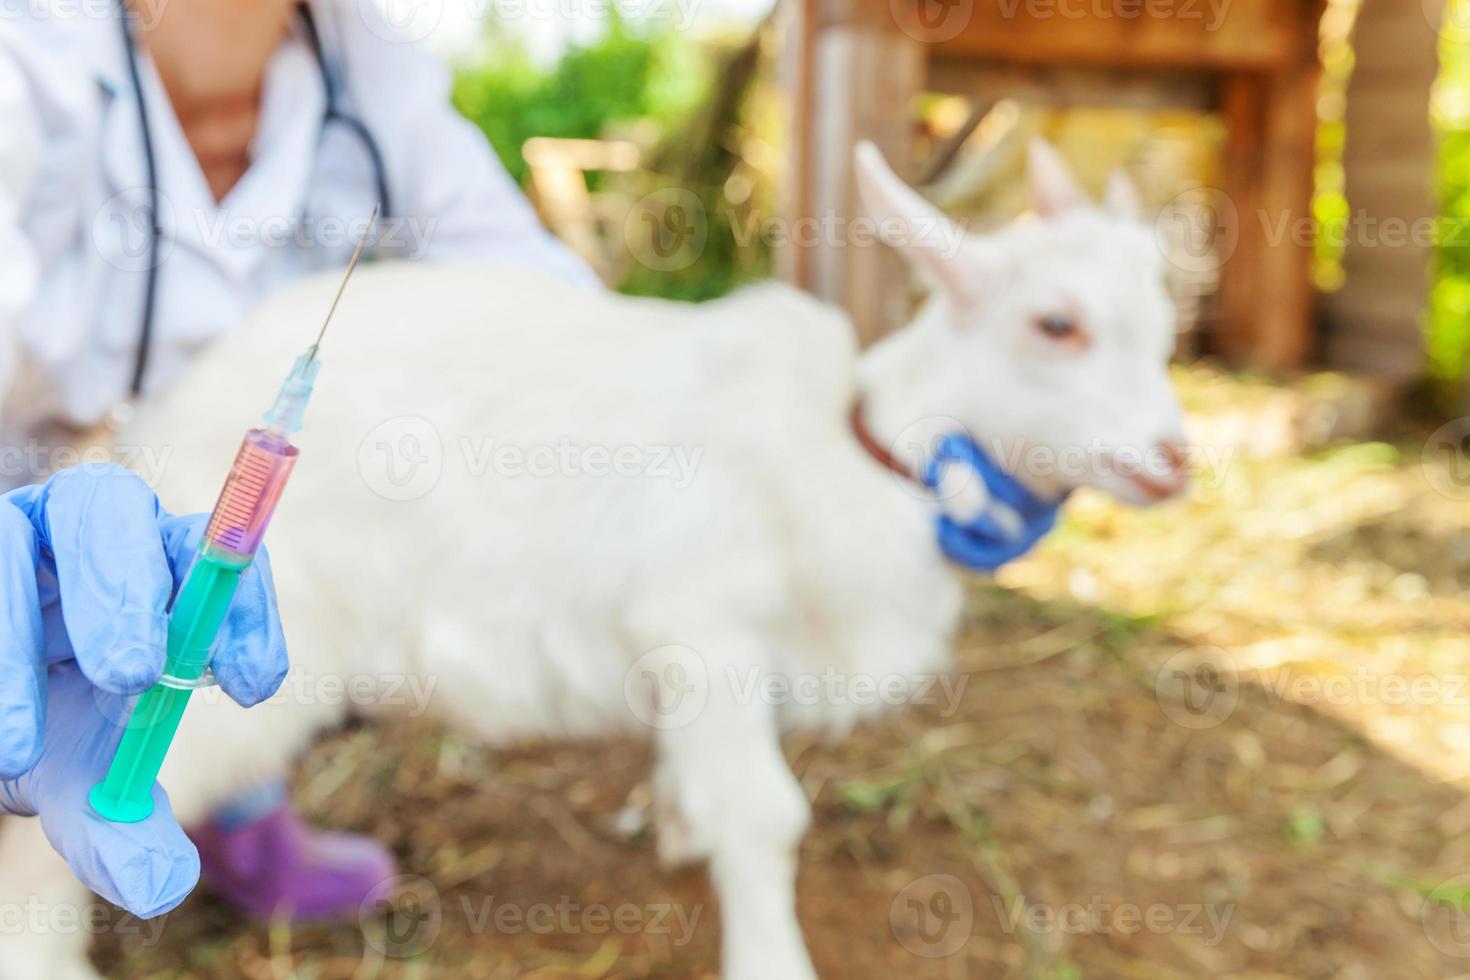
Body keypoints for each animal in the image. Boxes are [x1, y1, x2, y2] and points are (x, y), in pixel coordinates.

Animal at [0, 143, 1181, 980]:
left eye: (1166, 326)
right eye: (1056, 324)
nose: (1174, 459)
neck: (858, 452)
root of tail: (162, 425)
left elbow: (703, 780)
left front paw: (677, 825)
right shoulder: (704, 617)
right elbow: (768, 813)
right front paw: (772, 957)